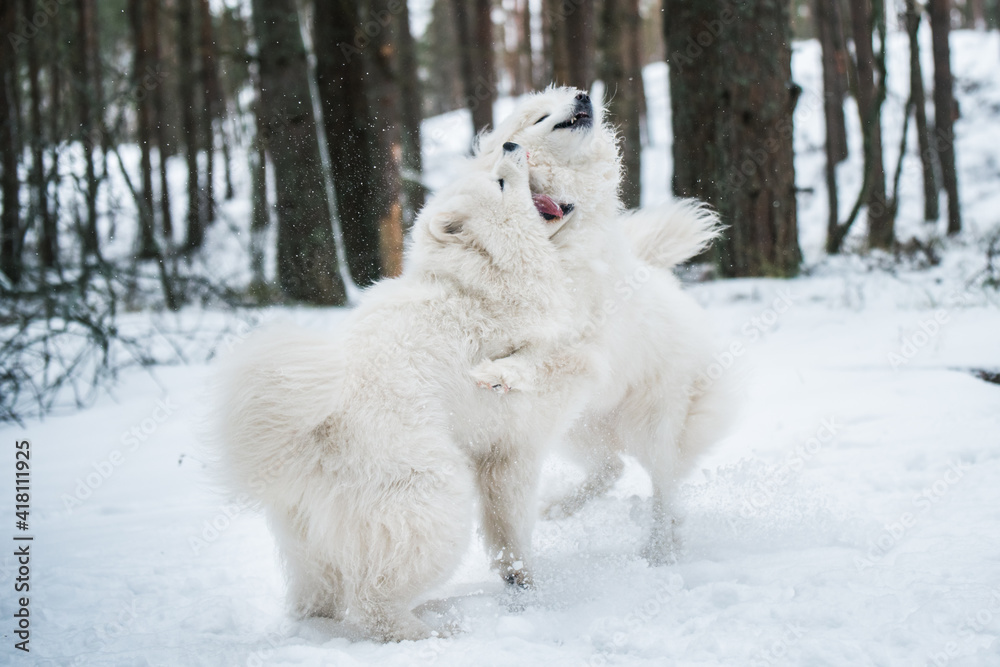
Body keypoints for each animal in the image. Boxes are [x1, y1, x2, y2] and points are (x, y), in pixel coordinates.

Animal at [213, 145, 592, 640]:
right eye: (500, 183)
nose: (511, 147)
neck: (479, 282)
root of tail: (312, 438)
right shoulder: (515, 437)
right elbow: (542, 366)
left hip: (309, 539)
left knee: (318, 599)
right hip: (433, 497)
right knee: (374, 603)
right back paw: (432, 629)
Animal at [468, 88, 736, 564]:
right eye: (540, 114)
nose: (582, 95)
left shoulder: (582, 348)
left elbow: (537, 356)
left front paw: (497, 373)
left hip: (651, 424)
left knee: (663, 486)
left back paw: (659, 549)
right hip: (577, 429)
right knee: (613, 468)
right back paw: (559, 506)